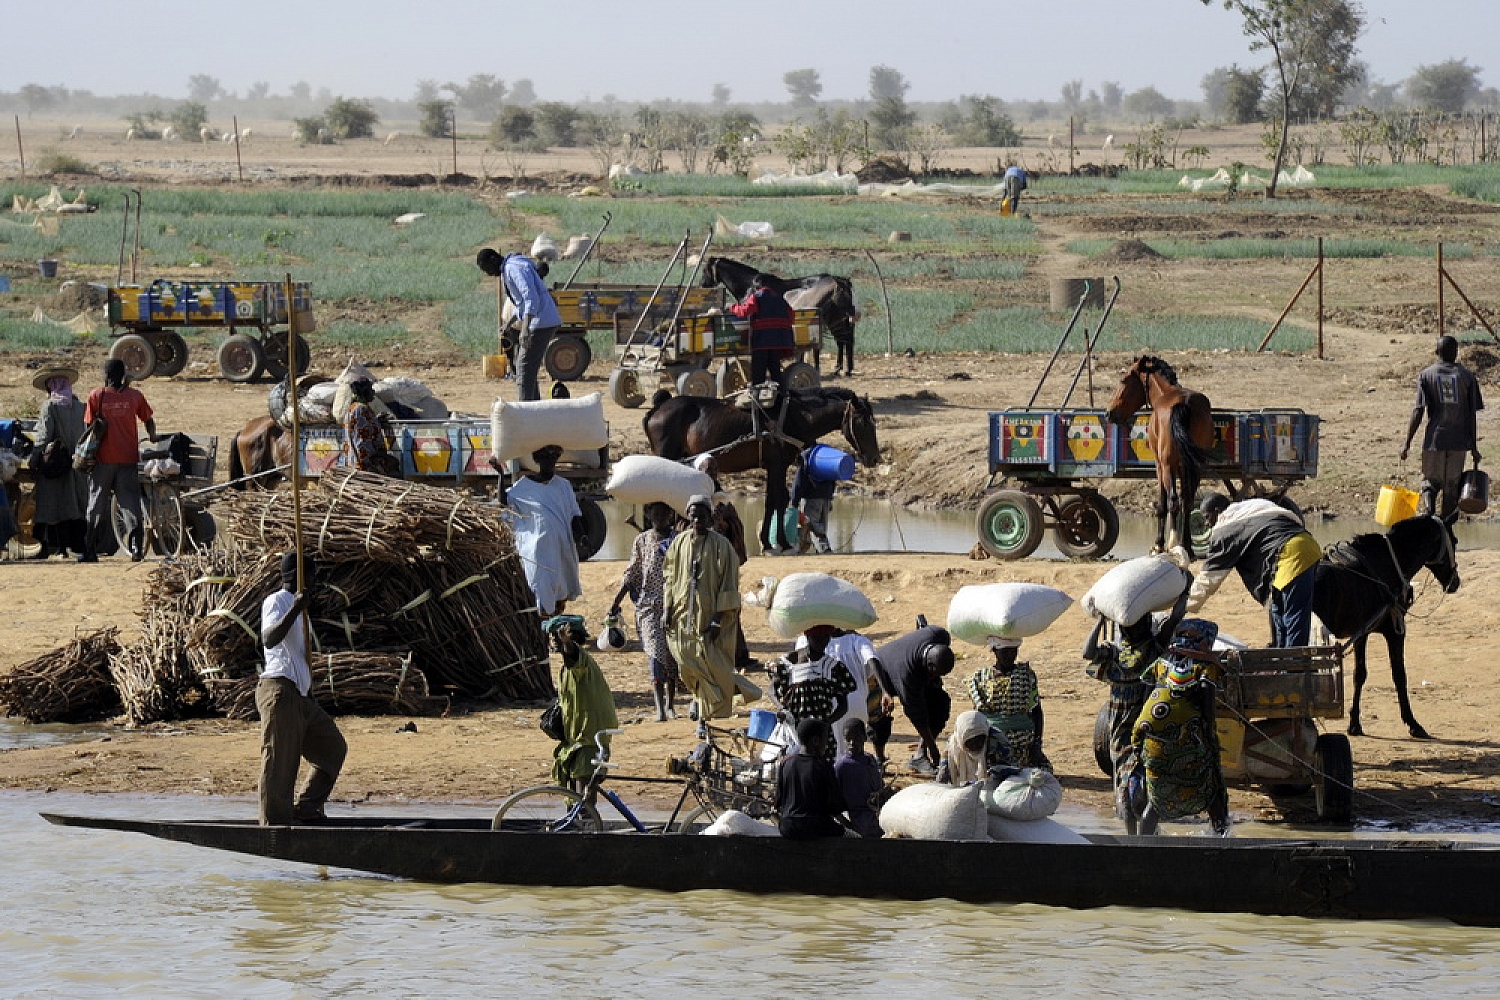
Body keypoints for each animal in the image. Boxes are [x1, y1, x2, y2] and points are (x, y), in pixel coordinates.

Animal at [642, 386, 876, 554]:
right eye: (864, 422)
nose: (874, 458)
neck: (796, 416)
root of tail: (657, 409)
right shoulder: (777, 464)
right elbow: (777, 500)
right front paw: (779, 542)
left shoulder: (776, 466)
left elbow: (775, 500)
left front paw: (771, 542)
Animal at [699, 257, 864, 379]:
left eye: (704, 270)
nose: (702, 285)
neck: (749, 285)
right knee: (843, 341)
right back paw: (841, 369)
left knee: (844, 341)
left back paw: (842, 369)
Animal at [1104, 355, 1218, 560]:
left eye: (1123, 380)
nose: (1109, 413)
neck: (1165, 393)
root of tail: (1184, 404)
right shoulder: (1184, 467)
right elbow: (1185, 500)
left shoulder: (1159, 465)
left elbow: (1162, 504)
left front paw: (1158, 545)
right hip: (1195, 467)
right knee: (1187, 501)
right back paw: (1186, 547)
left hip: (1167, 466)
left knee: (1173, 501)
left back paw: (1172, 544)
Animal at [1320, 512, 1458, 740]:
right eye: (1455, 541)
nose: (1455, 583)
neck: (1388, 565)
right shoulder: (1394, 631)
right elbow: (1399, 675)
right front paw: (1413, 723)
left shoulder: (1361, 634)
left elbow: (1359, 675)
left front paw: (1354, 723)